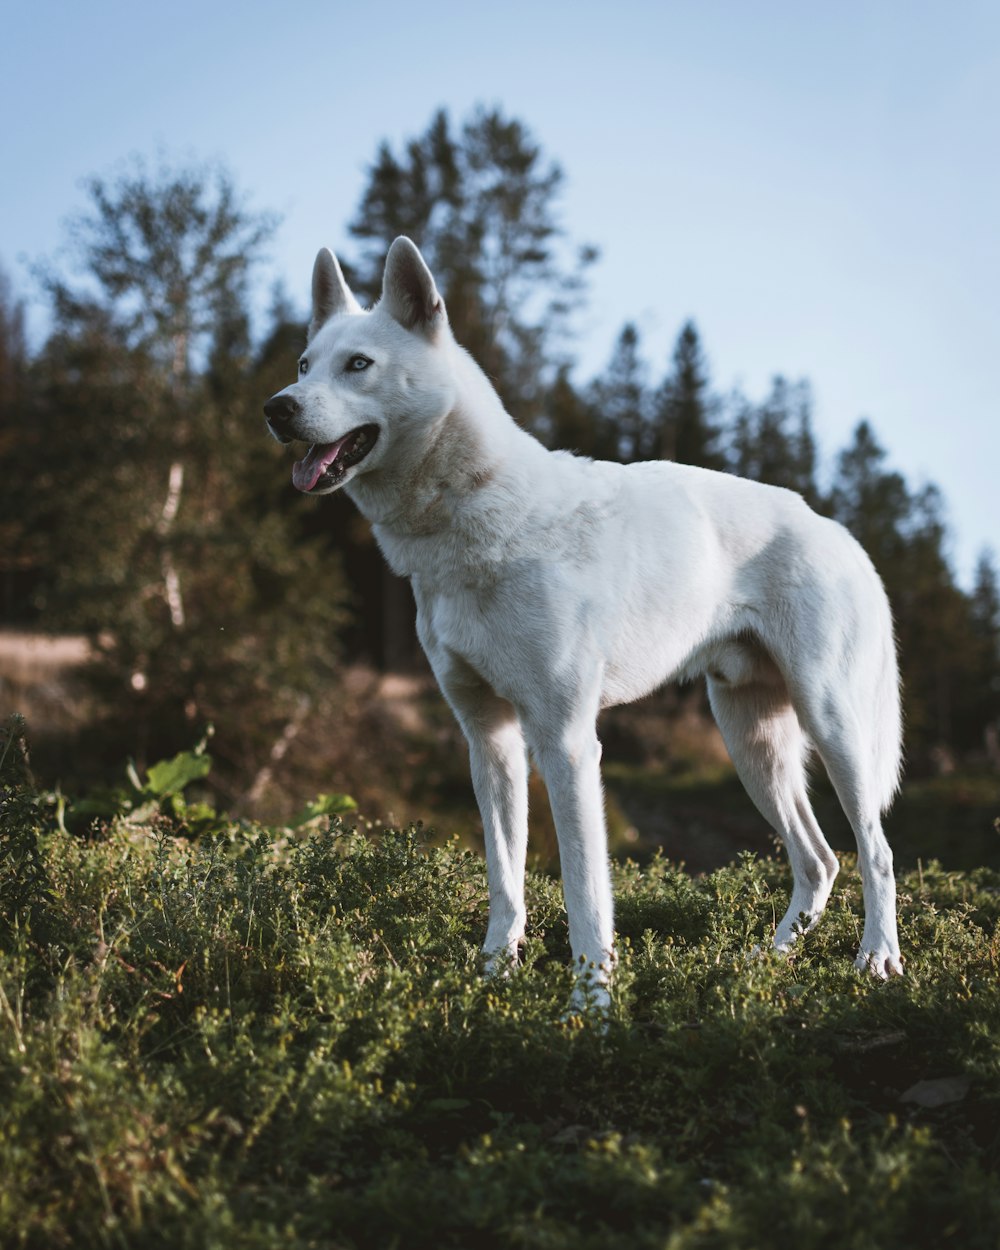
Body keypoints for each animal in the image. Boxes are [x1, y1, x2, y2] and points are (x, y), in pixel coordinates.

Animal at [265, 238, 905, 1010]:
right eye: (305, 365)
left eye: (358, 364)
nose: (275, 409)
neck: (473, 519)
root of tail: (839, 533)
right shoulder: (489, 740)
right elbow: (506, 881)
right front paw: (494, 979)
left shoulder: (567, 742)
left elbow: (584, 891)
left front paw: (591, 1006)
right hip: (752, 741)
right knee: (818, 860)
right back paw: (762, 965)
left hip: (832, 727)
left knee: (875, 851)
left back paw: (877, 960)